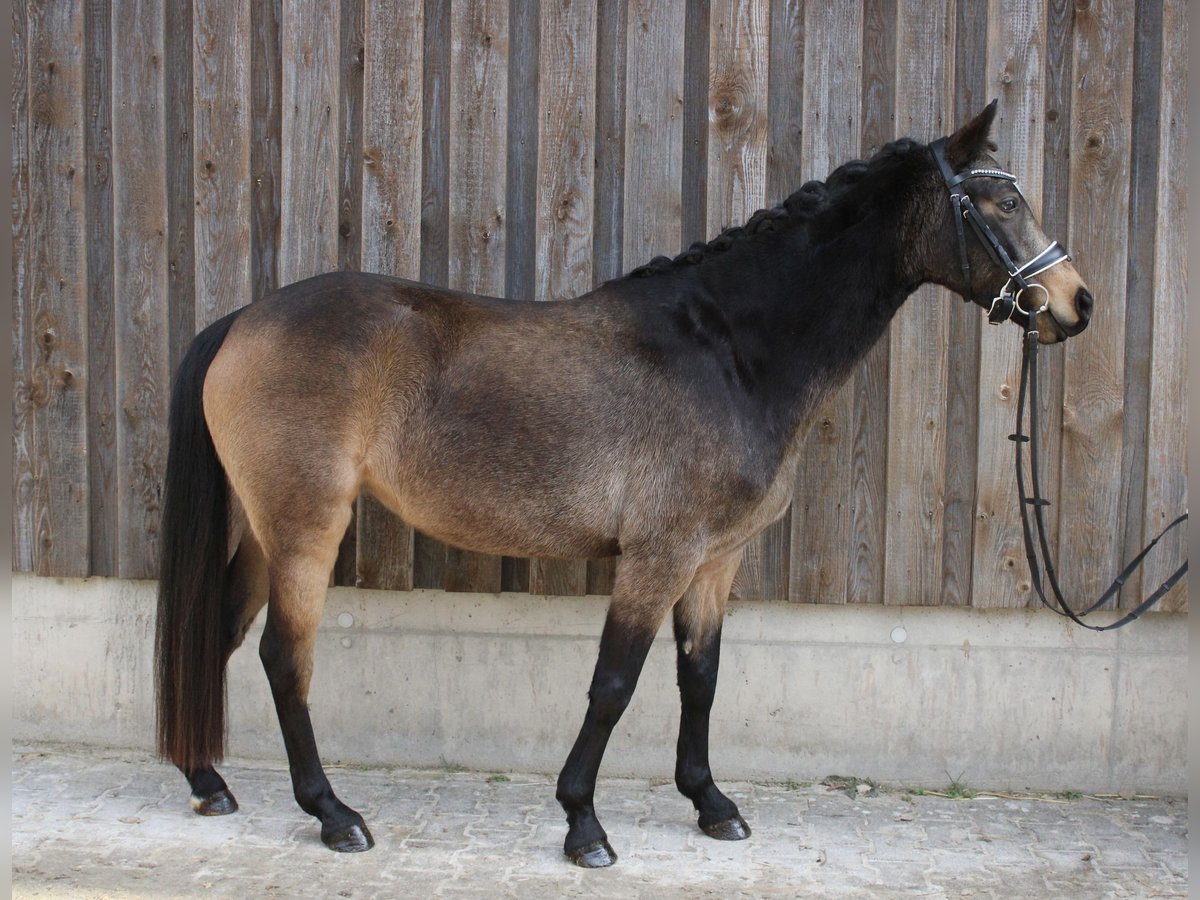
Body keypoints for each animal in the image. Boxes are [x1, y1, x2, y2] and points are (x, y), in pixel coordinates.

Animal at [154, 102, 1094, 868]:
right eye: (1003, 203)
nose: (1075, 302)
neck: (728, 351)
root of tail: (243, 320)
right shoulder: (657, 556)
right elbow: (614, 685)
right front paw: (583, 825)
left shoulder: (715, 561)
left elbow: (698, 677)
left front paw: (711, 803)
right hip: (306, 527)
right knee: (285, 658)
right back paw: (334, 814)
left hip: (263, 528)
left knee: (222, 633)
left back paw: (209, 782)